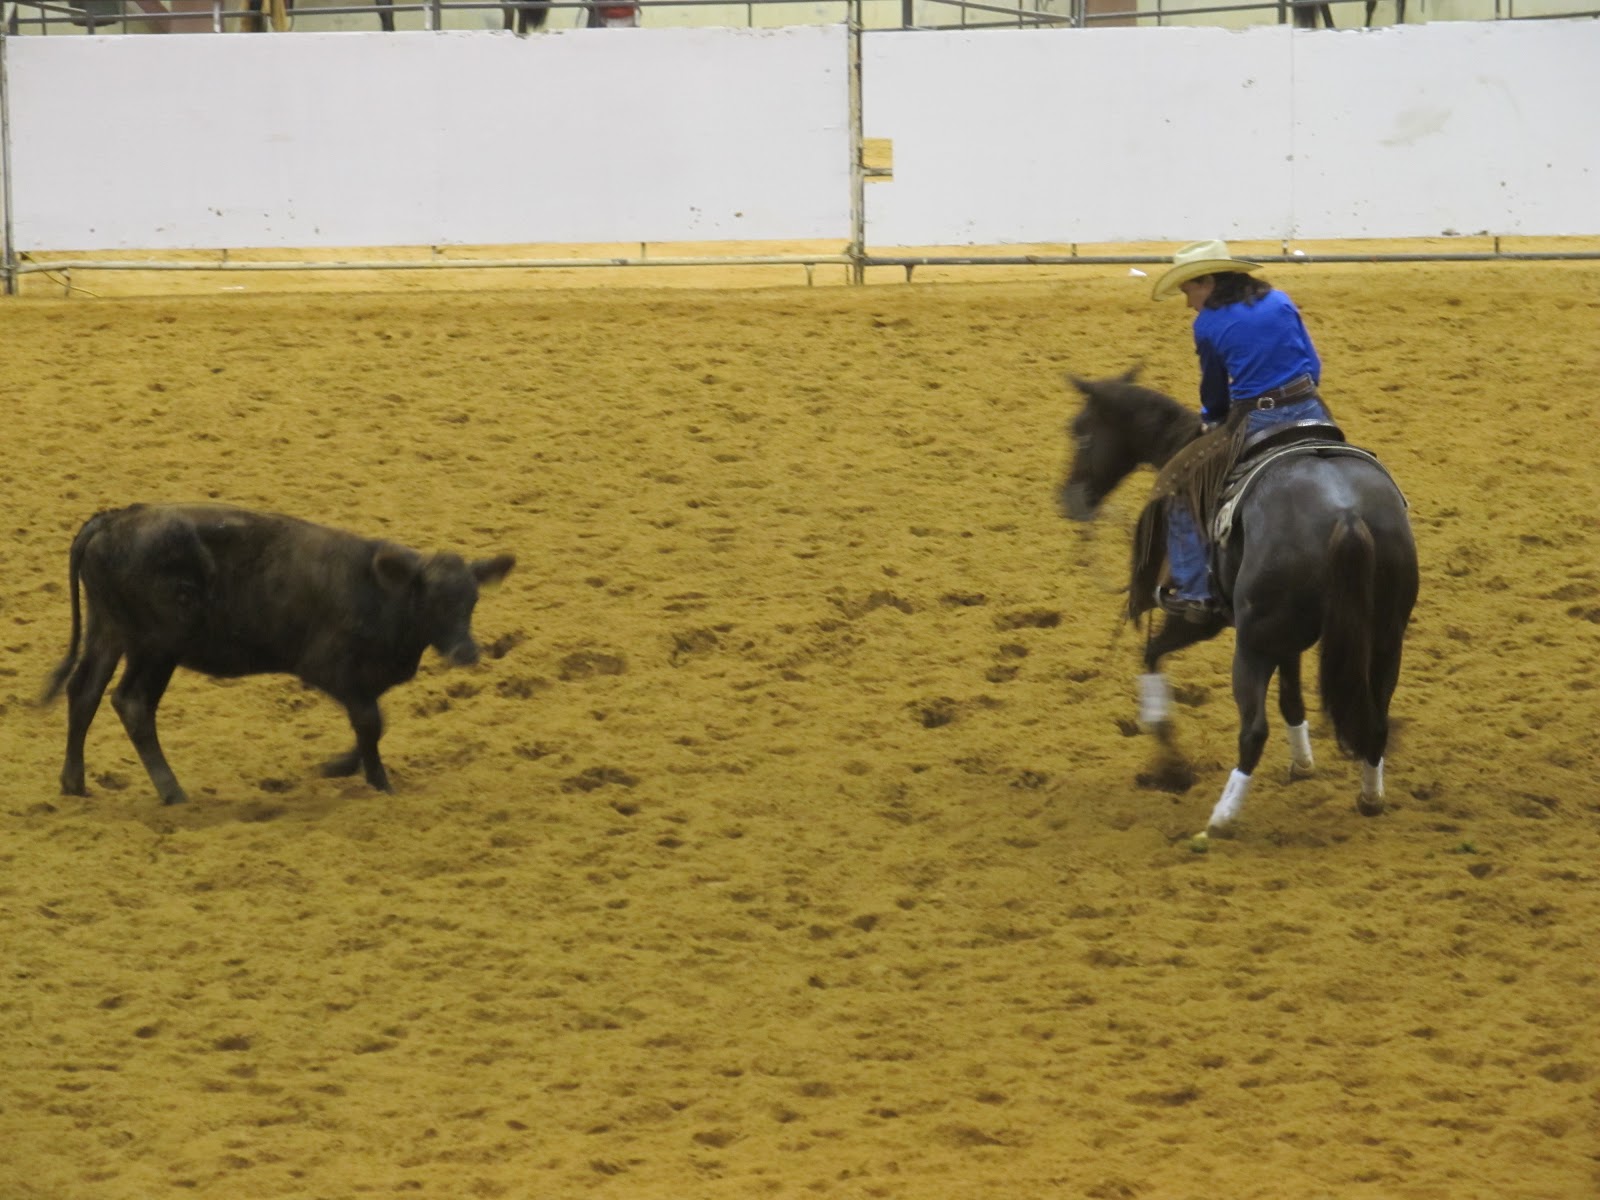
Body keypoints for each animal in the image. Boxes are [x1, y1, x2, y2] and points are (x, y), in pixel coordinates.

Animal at [1057, 368, 1418, 838]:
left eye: (1079, 432)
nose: (1067, 499)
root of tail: (1347, 515)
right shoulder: (1288, 640)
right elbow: (1292, 698)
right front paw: (1302, 764)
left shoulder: (1204, 621)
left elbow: (1151, 653)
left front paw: (1166, 747)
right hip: (1384, 636)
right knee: (1375, 721)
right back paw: (1370, 797)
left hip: (1252, 646)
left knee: (1253, 732)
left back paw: (1221, 819)